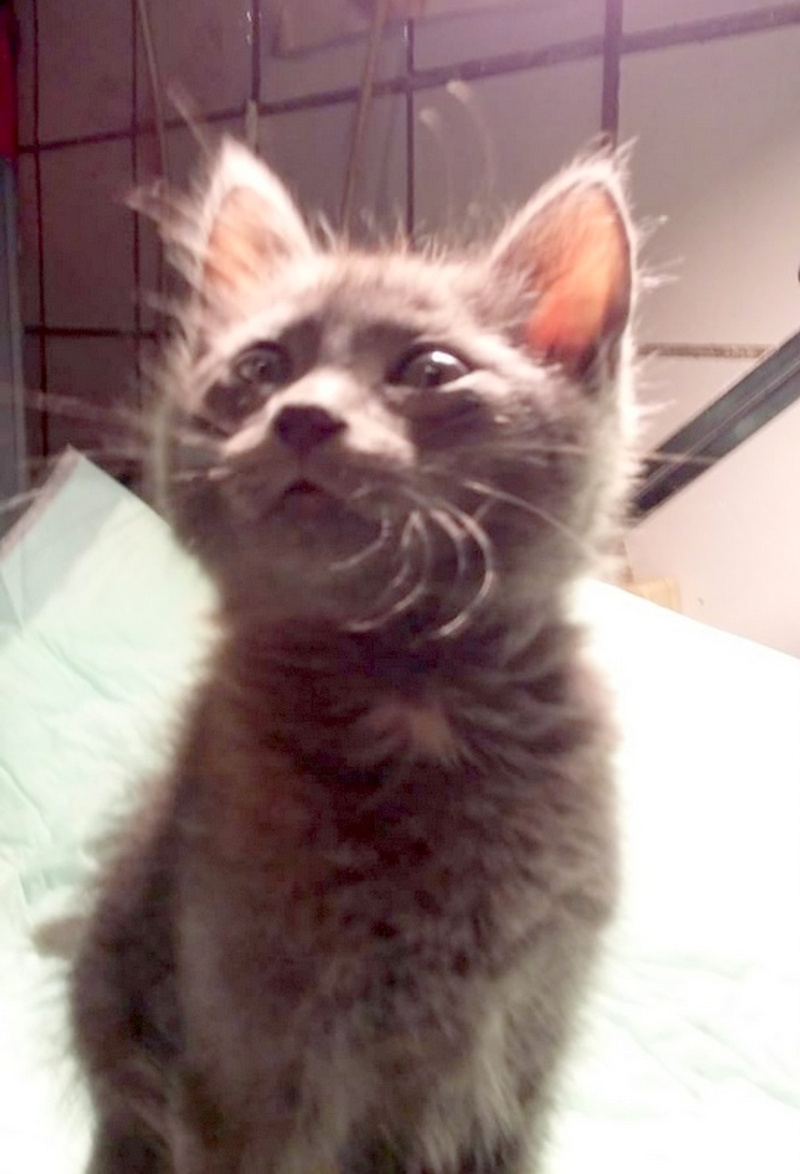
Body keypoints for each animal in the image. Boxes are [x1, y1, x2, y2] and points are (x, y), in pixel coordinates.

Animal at [69, 139, 636, 1174]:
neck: (405, 694)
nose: (302, 416)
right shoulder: (247, 1057)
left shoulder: (523, 1044)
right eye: (262, 365)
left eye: (431, 367)